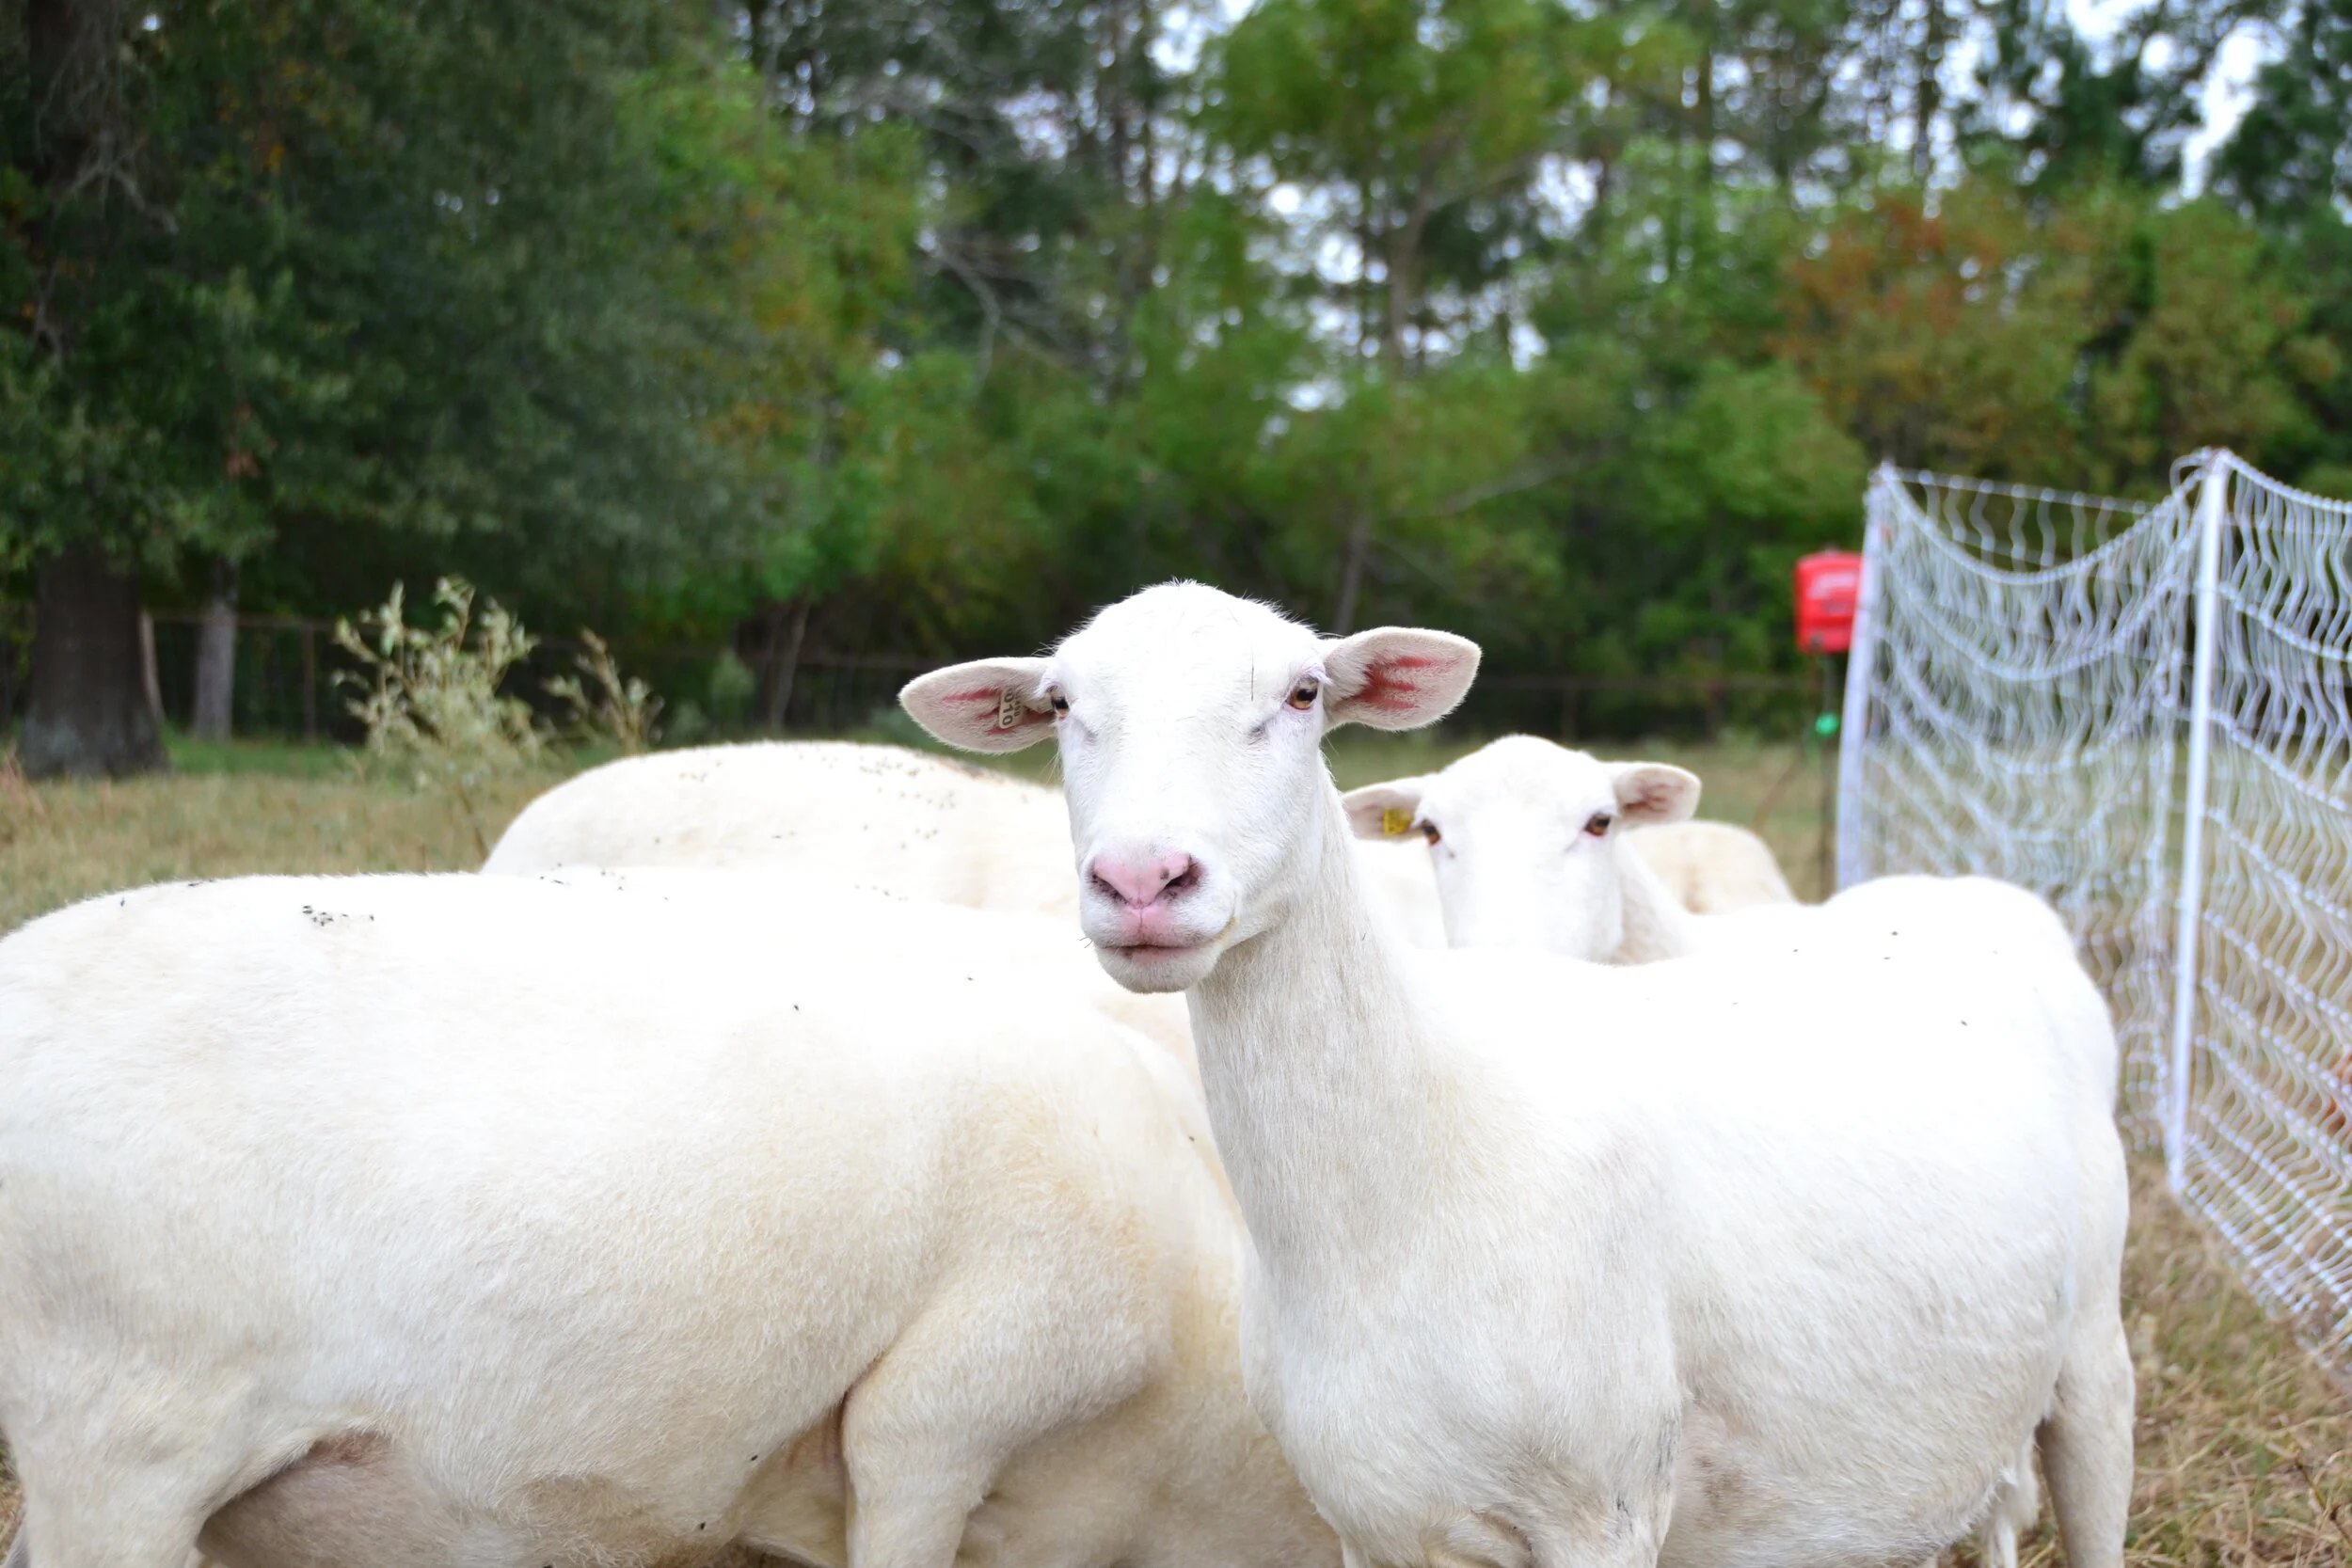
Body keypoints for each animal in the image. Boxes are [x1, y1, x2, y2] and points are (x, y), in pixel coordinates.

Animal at [900, 581, 2133, 1568]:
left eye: (1302, 693)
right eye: (1061, 704)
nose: (1144, 880)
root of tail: (1959, 889)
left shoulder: (1604, 1510)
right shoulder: (1368, 1517)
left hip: (2092, 1363)